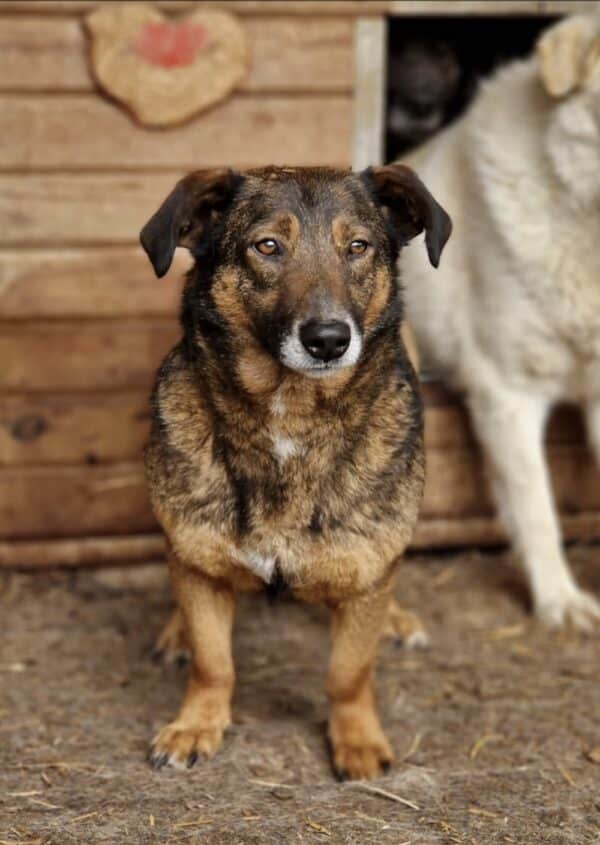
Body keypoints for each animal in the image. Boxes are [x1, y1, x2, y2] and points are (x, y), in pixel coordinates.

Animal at [141, 165, 450, 780]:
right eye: (267, 246)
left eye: (358, 247)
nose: (328, 340)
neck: (291, 415)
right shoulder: (197, 560)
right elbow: (214, 662)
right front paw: (197, 724)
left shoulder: (365, 575)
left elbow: (347, 673)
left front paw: (356, 739)